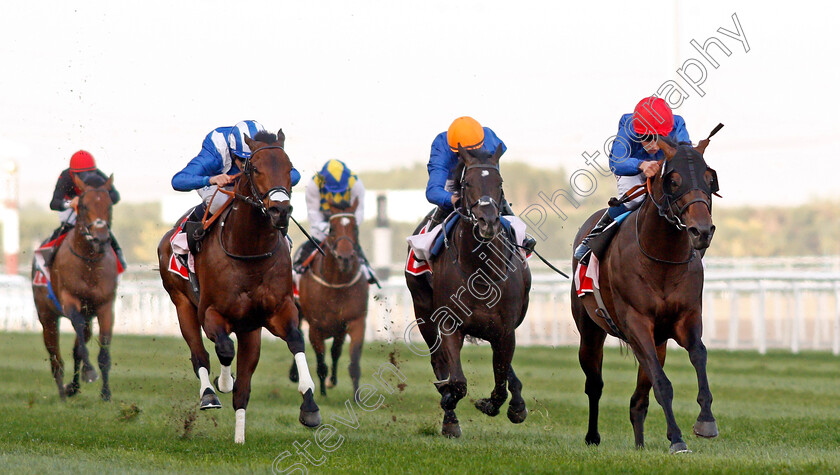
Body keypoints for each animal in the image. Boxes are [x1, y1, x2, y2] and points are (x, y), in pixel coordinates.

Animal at [31, 173, 118, 404]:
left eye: (109, 205)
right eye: (85, 206)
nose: (100, 238)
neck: (88, 262)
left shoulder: (105, 307)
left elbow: (103, 352)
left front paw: (106, 394)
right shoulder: (70, 302)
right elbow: (78, 338)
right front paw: (90, 372)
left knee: (78, 347)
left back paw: (73, 387)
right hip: (47, 316)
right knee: (55, 357)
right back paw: (63, 393)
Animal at [160, 129, 322, 442]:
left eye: (289, 168)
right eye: (255, 168)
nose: (280, 210)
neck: (249, 252)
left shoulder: (277, 311)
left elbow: (296, 340)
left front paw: (309, 406)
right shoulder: (211, 312)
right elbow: (224, 349)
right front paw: (222, 383)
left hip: (250, 330)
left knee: (244, 389)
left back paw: (239, 438)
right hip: (181, 303)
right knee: (199, 354)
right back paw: (210, 393)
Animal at [288, 197, 368, 398]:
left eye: (355, 228)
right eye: (331, 229)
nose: (345, 258)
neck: (337, 282)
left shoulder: (355, 321)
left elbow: (352, 361)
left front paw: (357, 396)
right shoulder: (316, 327)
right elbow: (321, 362)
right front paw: (322, 392)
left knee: (335, 351)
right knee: (297, 334)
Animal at [402, 144, 532, 438]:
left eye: (499, 182)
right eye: (467, 183)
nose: (488, 222)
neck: (480, 271)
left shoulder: (505, 329)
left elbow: (500, 381)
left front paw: (497, 405)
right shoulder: (450, 324)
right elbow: (457, 381)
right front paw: (449, 403)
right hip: (423, 313)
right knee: (439, 362)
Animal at [572, 134, 720, 454]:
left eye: (709, 178)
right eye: (673, 180)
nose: (701, 231)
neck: (661, 258)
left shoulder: (686, 318)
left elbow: (699, 355)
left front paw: (705, 420)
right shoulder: (637, 322)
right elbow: (663, 384)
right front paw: (677, 438)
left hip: (658, 341)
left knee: (638, 400)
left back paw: (639, 445)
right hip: (590, 330)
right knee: (594, 384)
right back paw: (592, 437)